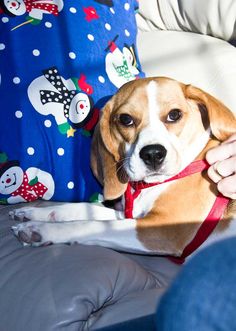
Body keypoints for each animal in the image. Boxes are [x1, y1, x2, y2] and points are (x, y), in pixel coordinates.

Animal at [11, 78, 236, 262]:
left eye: (174, 115)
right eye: (126, 119)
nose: (153, 154)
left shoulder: (163, 228)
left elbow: (90, 225)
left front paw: (41, 229)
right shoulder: (130, 215)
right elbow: (85, 209)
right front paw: (35, 213)